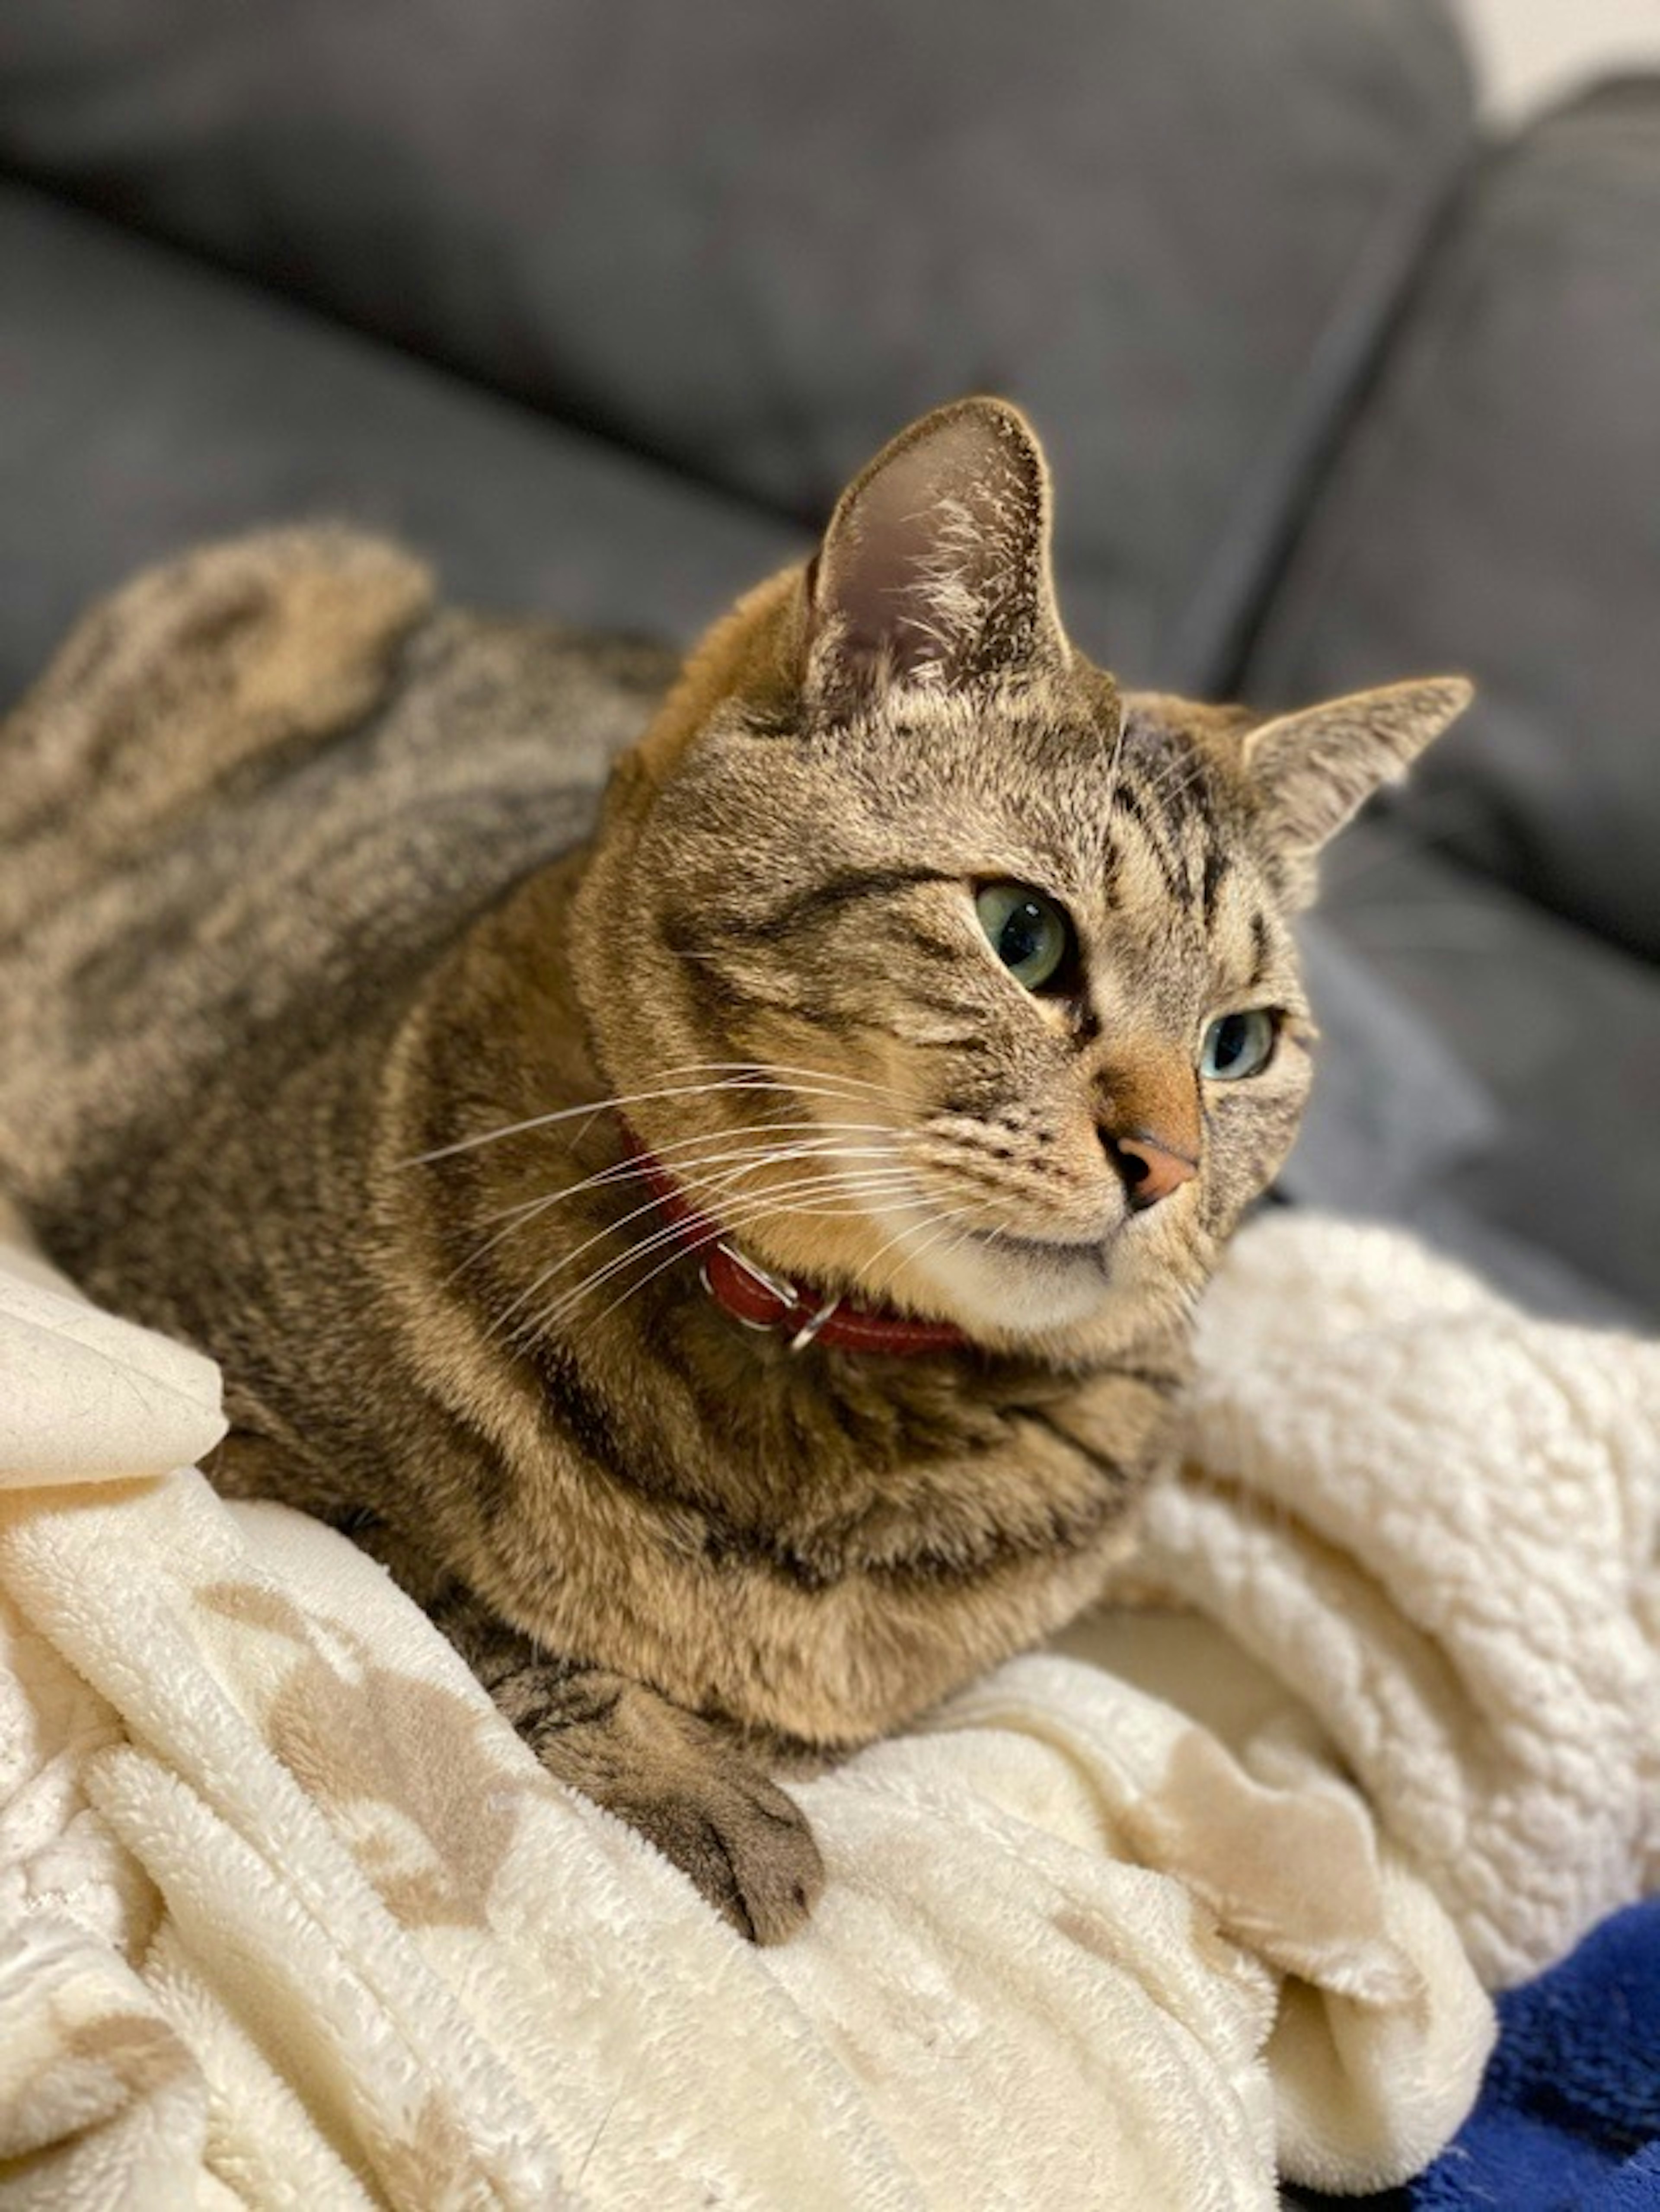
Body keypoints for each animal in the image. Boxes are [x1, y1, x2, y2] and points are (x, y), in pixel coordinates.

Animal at [0, 398, 1469, 1938]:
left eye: (1240, 1043)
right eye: (1023, 934)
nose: (1171, 1164)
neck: (833, 1384)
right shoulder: (225, 1420)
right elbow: (443, 1584)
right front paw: (686, 1778)